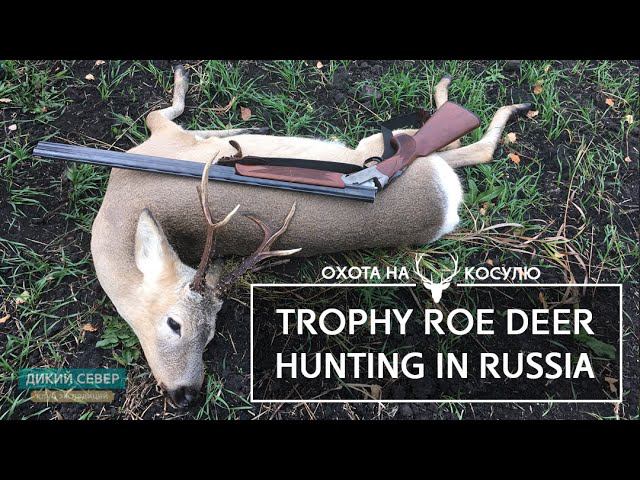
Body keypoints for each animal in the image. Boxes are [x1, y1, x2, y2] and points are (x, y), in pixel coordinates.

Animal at [89, 64, 530, 407]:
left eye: (200, 331)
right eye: (180, 325)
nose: (185, 395)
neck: (118, 200)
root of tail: (446, 212)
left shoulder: (165, 137)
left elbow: (159, 111)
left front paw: (207, 104)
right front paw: (230, 125)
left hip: (377, 145)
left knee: (460, 143)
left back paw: (473, 95)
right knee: (468, 150)